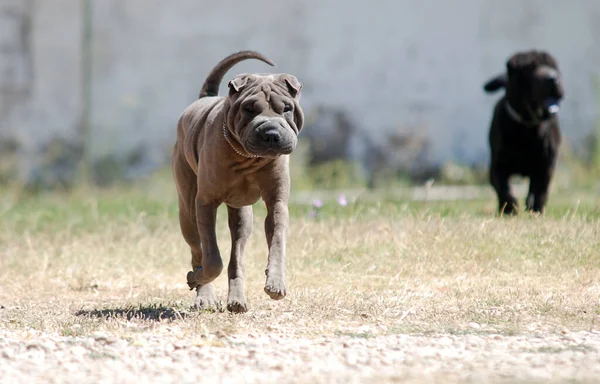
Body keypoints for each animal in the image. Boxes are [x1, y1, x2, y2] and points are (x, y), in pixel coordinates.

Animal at [482, 49, 564, 214]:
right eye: (531, 68)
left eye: (553, 67)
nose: (553, 78)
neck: (527, 127)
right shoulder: (498, 165)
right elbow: (503, 188)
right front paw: (509, 209)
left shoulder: (546, 165)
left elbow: (540, 190)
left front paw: (536, 209)